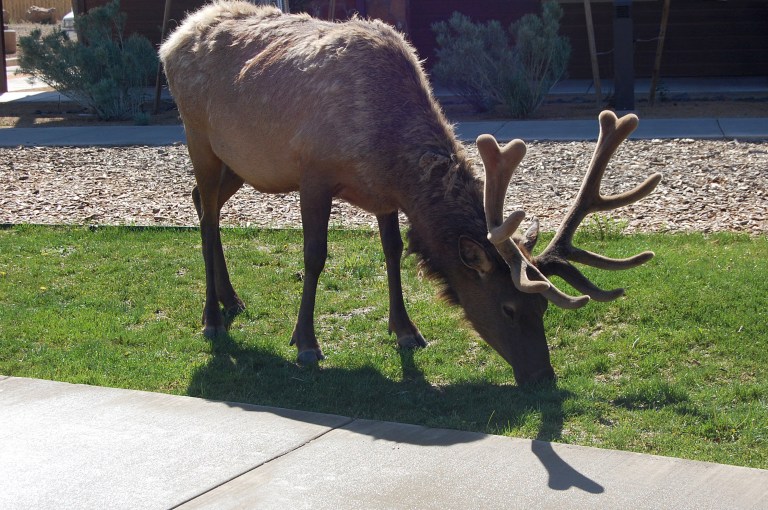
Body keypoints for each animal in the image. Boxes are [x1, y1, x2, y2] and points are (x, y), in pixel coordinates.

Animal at [159, 2, 662, 385]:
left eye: (542, 308)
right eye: (510, 308)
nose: (543, 377)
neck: (388, 150)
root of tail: (173, 38)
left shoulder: (383, 194)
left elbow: (393, 251)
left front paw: (406, 330)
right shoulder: (313, 173)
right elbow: (314, 256)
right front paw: (306, 343)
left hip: (238, 161)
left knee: (200, 201)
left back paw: (231, 299)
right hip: (198, 136)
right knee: (206, 215)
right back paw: (211, 319)